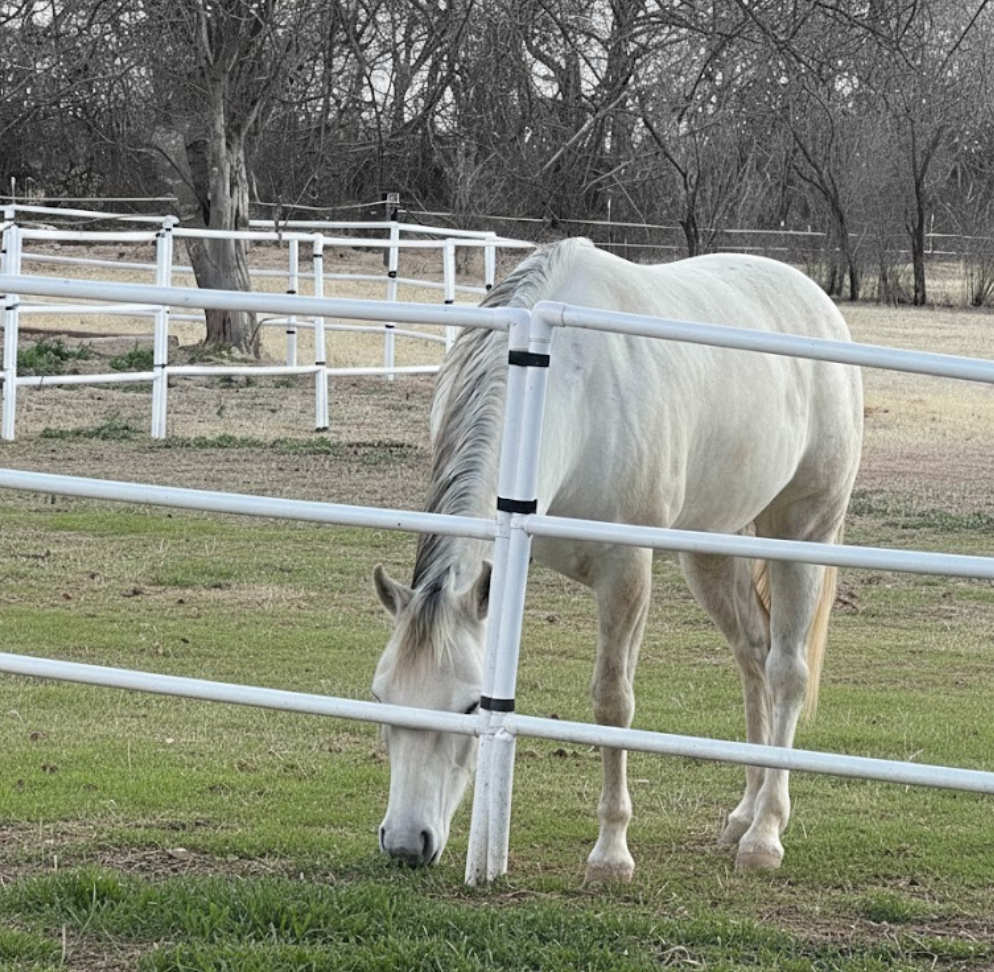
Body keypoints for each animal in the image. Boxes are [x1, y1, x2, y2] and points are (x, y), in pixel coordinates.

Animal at [371, 238, 863, 882]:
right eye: (382, 697)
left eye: (467, 703)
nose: (407, 843)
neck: (561, 386)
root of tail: (819, 305)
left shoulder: (625, 571)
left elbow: (613, 700)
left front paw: (610, 853)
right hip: (712, 549)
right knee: (752, 656)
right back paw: (743, 815)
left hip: (803, 534)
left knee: (786, 671)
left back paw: (765, 834)